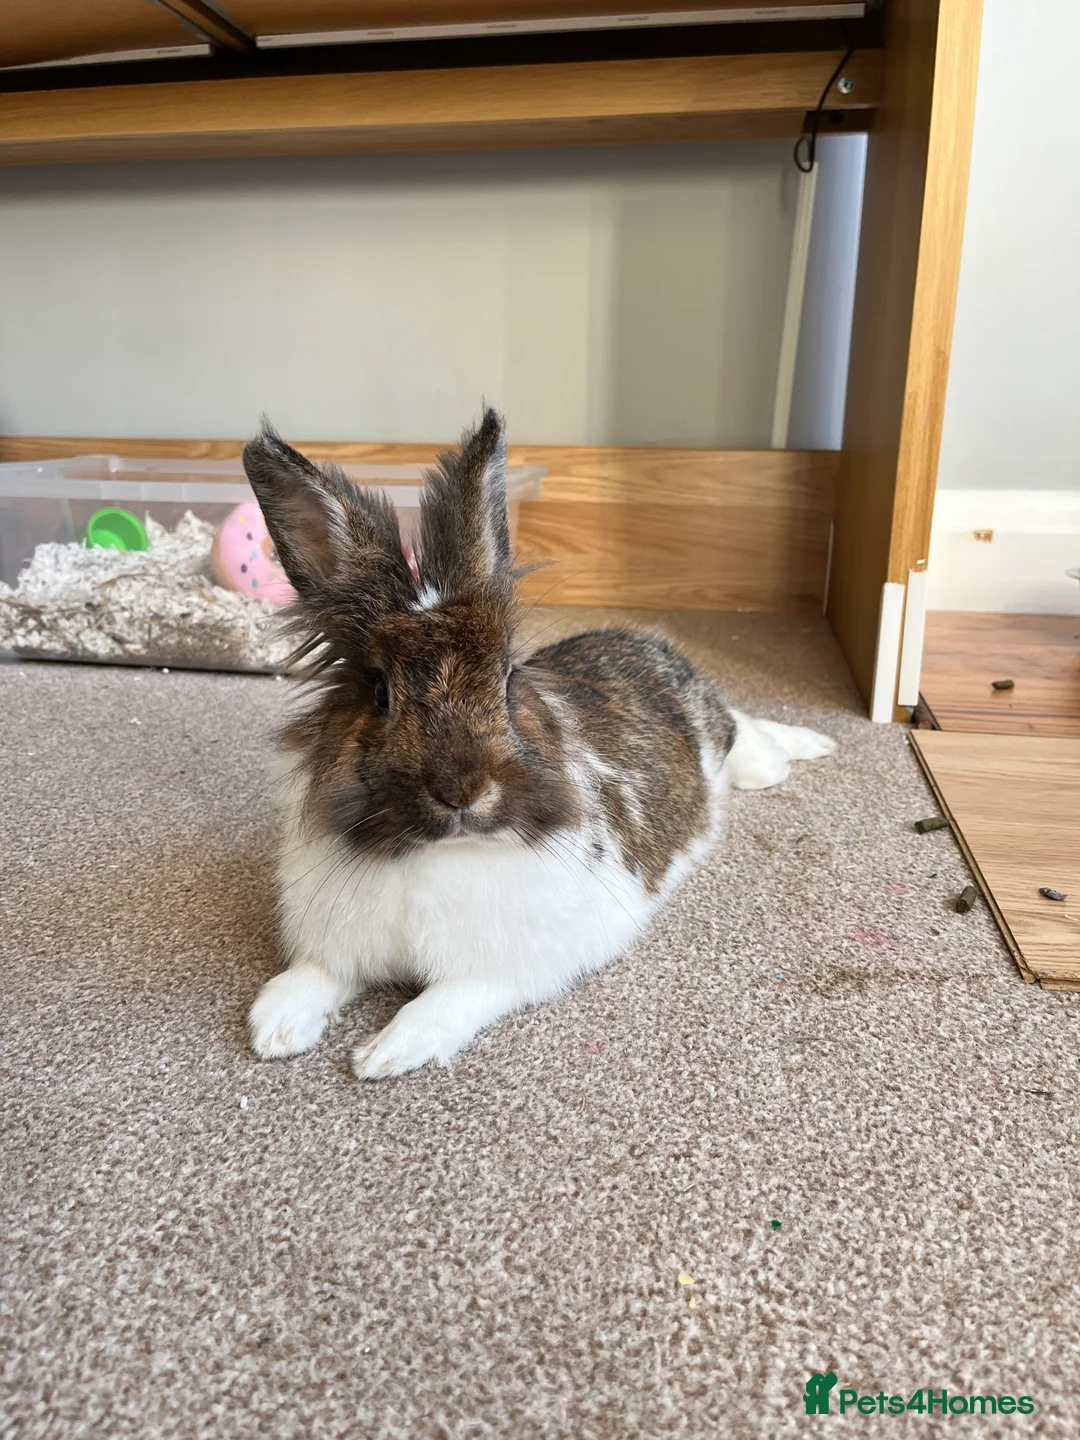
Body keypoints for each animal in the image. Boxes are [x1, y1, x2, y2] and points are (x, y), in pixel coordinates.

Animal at [243, 408, 836, 1079]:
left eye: (506, 680)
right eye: (379, 692)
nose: (462, 791)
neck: (441, 852)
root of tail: (647, 642)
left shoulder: (510, 968)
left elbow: (445, 1001)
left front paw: (385, 1054)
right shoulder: (337, 944)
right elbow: (312, 975)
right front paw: (273, 1029)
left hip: (718, 733)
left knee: (744, 729)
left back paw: (800, 751)